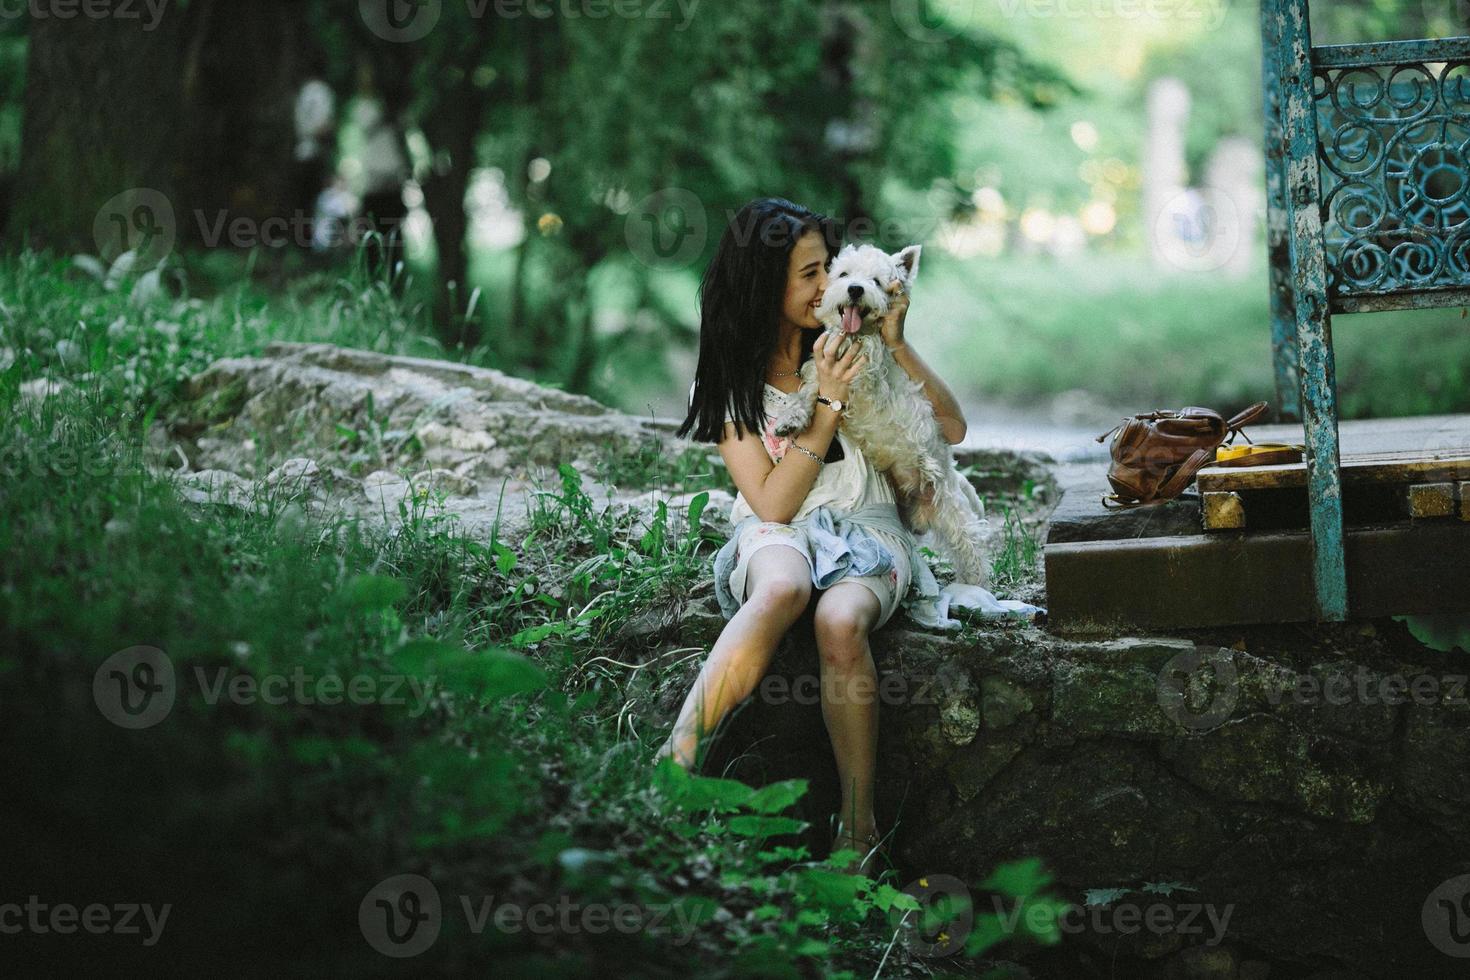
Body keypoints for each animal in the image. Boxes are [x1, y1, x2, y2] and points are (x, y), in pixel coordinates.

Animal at [764, 242, 993, 587]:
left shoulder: (868, 373)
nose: (856, 289)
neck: (856, 336)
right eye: (844, 274)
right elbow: (809, 391)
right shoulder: (822, 373)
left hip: (949, 506)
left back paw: (977, 585)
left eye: (876, 280)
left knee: (971, 542)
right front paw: (792, 418)